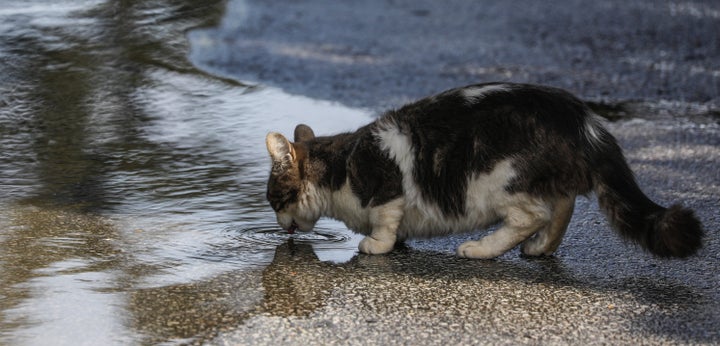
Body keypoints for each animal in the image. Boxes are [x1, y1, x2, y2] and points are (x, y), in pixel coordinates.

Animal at [264, 82, 704, 258]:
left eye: (274, 201)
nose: (281, 226)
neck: (340, 166)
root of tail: (582, 119)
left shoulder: (387, 190)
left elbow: (386, 222)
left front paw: (376, 244)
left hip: (498, 180)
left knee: (534, 215)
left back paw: (480, 249)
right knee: (563, 206)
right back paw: (541, 249)